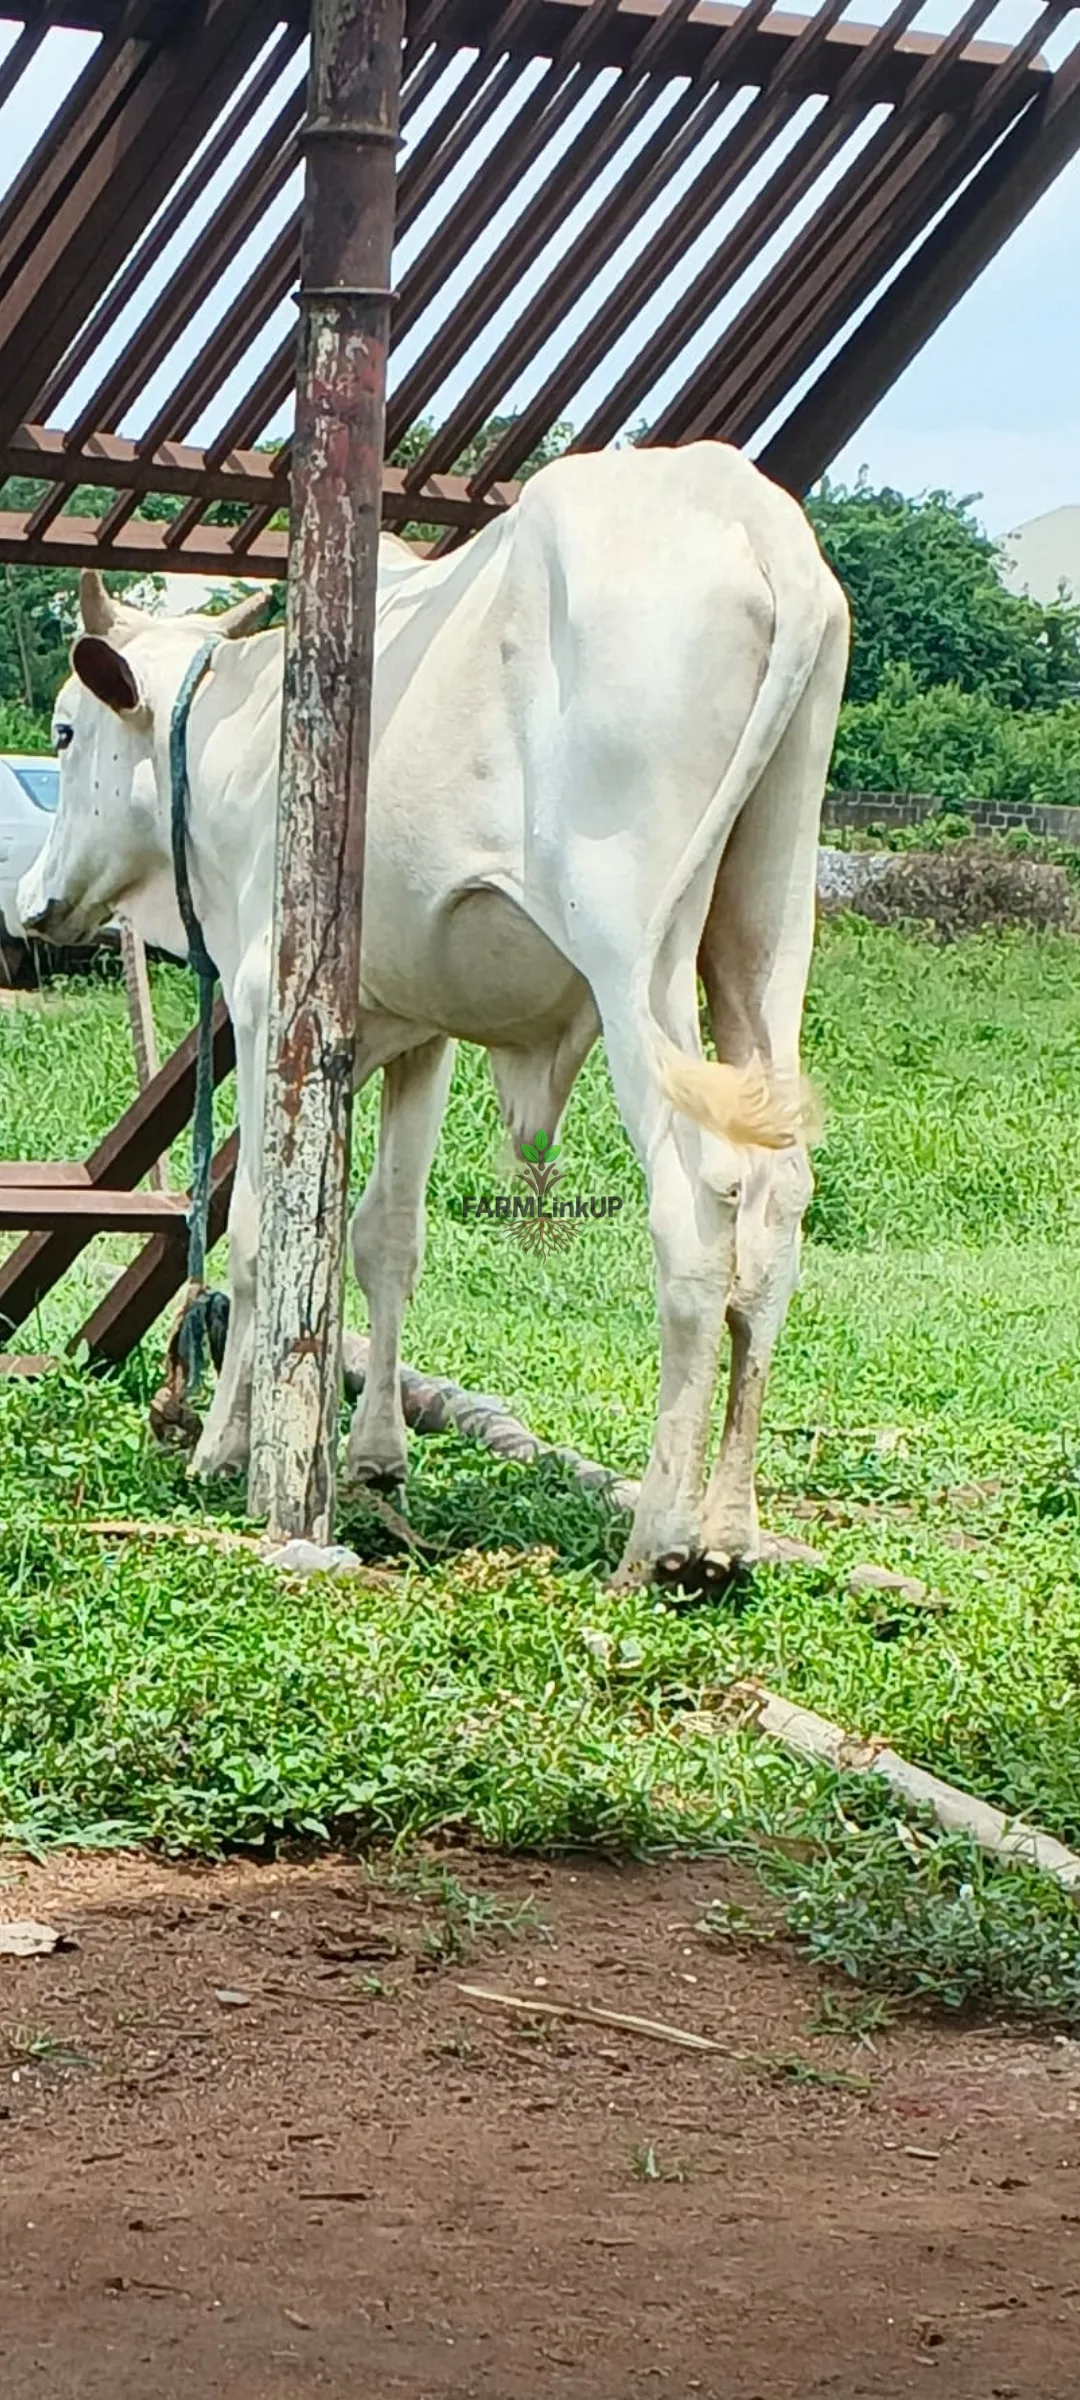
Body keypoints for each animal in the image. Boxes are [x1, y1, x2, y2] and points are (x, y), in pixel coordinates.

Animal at [19, 442, 848, 1588]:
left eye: (63, 730)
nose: (34, 900)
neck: (243, 737)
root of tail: (749, 517)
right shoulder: (418, 1034)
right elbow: (381, 1237)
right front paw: (371, 1458)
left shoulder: (269, 1000)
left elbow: (257, 1231)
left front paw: (227, 1446)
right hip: (764, 926)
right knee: (777, 1200)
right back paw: (728, 1534)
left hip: (634, 950)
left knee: (698, 1202)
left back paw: (659, 1542)